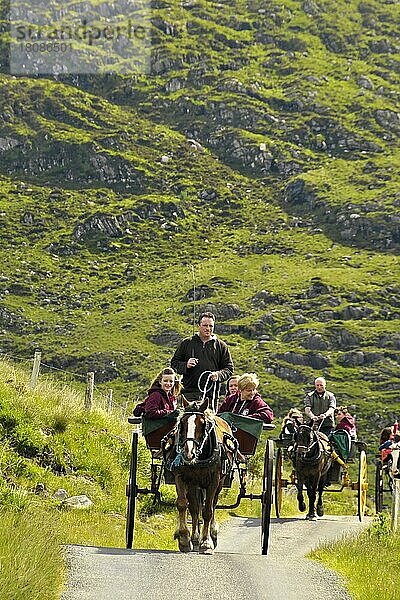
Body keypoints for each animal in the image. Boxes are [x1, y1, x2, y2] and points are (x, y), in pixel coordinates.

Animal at [161, 396, 239, 556]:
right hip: (195, 484)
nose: (188, 453)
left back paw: (212, 533)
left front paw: (206, 543)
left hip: (219, 483)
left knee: (212, 505)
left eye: (203, 424)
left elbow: (208, 511)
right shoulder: (182, 478)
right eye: (182, 423)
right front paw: (184, 539)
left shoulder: (213, 481)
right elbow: (184, 505)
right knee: (195, 508)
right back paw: (195, 538)